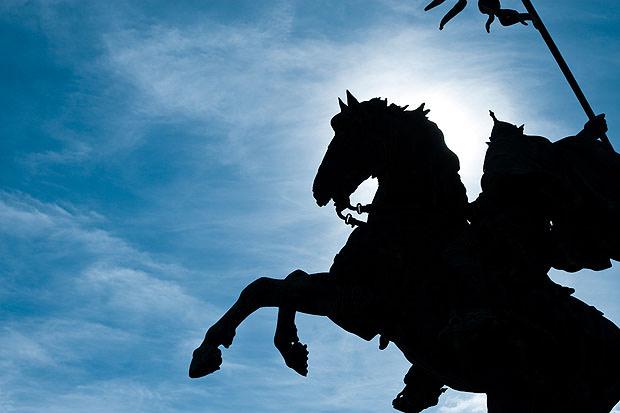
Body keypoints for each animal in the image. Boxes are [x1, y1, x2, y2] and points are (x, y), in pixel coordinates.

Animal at [189, 93, 620, 412]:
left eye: (349, 133)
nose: (319, 188)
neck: (412, 223)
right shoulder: (346, 293)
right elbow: (273, 284)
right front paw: (263, 350)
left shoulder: (358, 303)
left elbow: (279, 287)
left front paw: (251, 349)